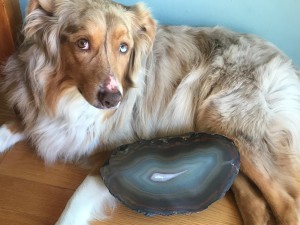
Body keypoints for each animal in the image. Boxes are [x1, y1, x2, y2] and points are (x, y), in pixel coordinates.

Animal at [0, 0, 300, 224]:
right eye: (82, 43)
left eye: (124, 48)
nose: (113, 99)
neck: (68, 96)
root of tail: (282, 58)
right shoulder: (33, 113)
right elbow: (9, 127)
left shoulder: (119, 150)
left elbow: (75, 202)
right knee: (254, 199)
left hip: (228, 120)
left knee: (288, 203)